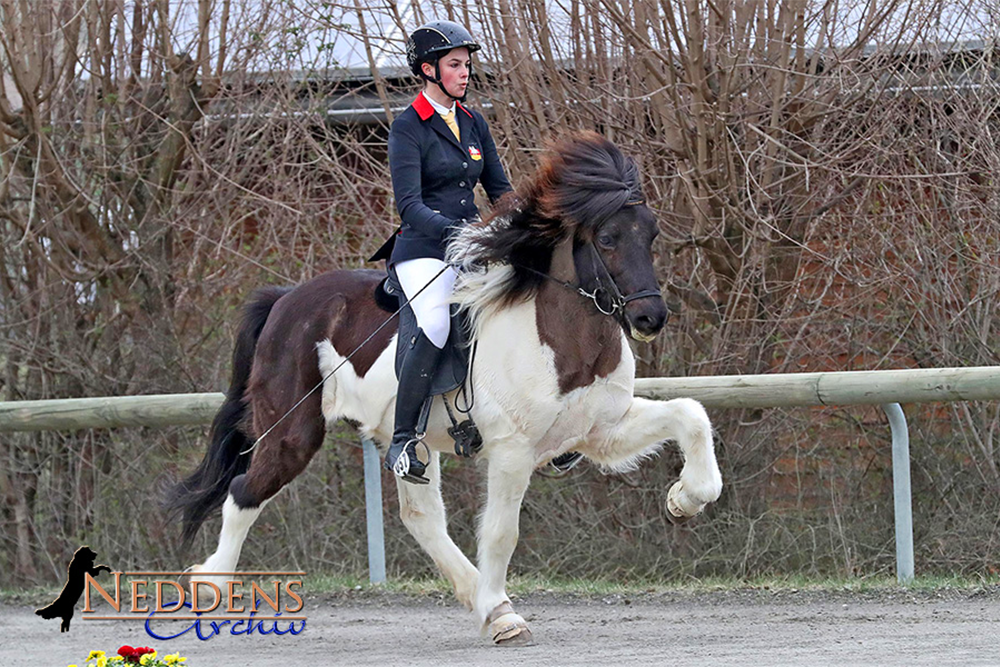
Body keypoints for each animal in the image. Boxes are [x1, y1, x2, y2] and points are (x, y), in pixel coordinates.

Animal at [166, 132, 728, 648]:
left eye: (651, 233)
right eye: (608, 237)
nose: (650, 318)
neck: (561, 336)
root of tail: (285, 299)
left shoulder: (601, 431)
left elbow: (691, 414)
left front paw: (685, 499)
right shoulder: (512, 450)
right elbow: (501, 531)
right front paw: (506, 617)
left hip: (408, 443)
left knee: (421, 518)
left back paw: (483, 601)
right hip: (292, 433)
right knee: (244, 492)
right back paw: (210, 586)